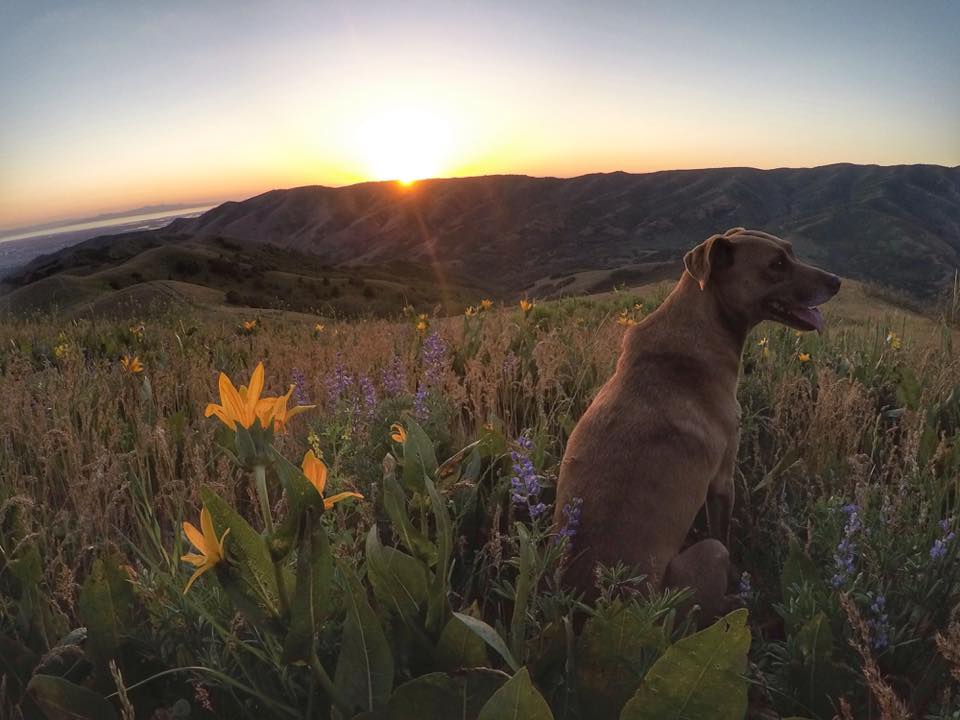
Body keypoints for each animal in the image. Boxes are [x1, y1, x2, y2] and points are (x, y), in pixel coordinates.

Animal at [556, 226, 840, 620]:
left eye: (790, 252)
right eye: (776, 264)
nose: (837, 282)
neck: (703, 325)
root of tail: (602, 602)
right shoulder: (722, 481)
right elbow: (724, 534)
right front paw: (738, 580)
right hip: (704, 560)